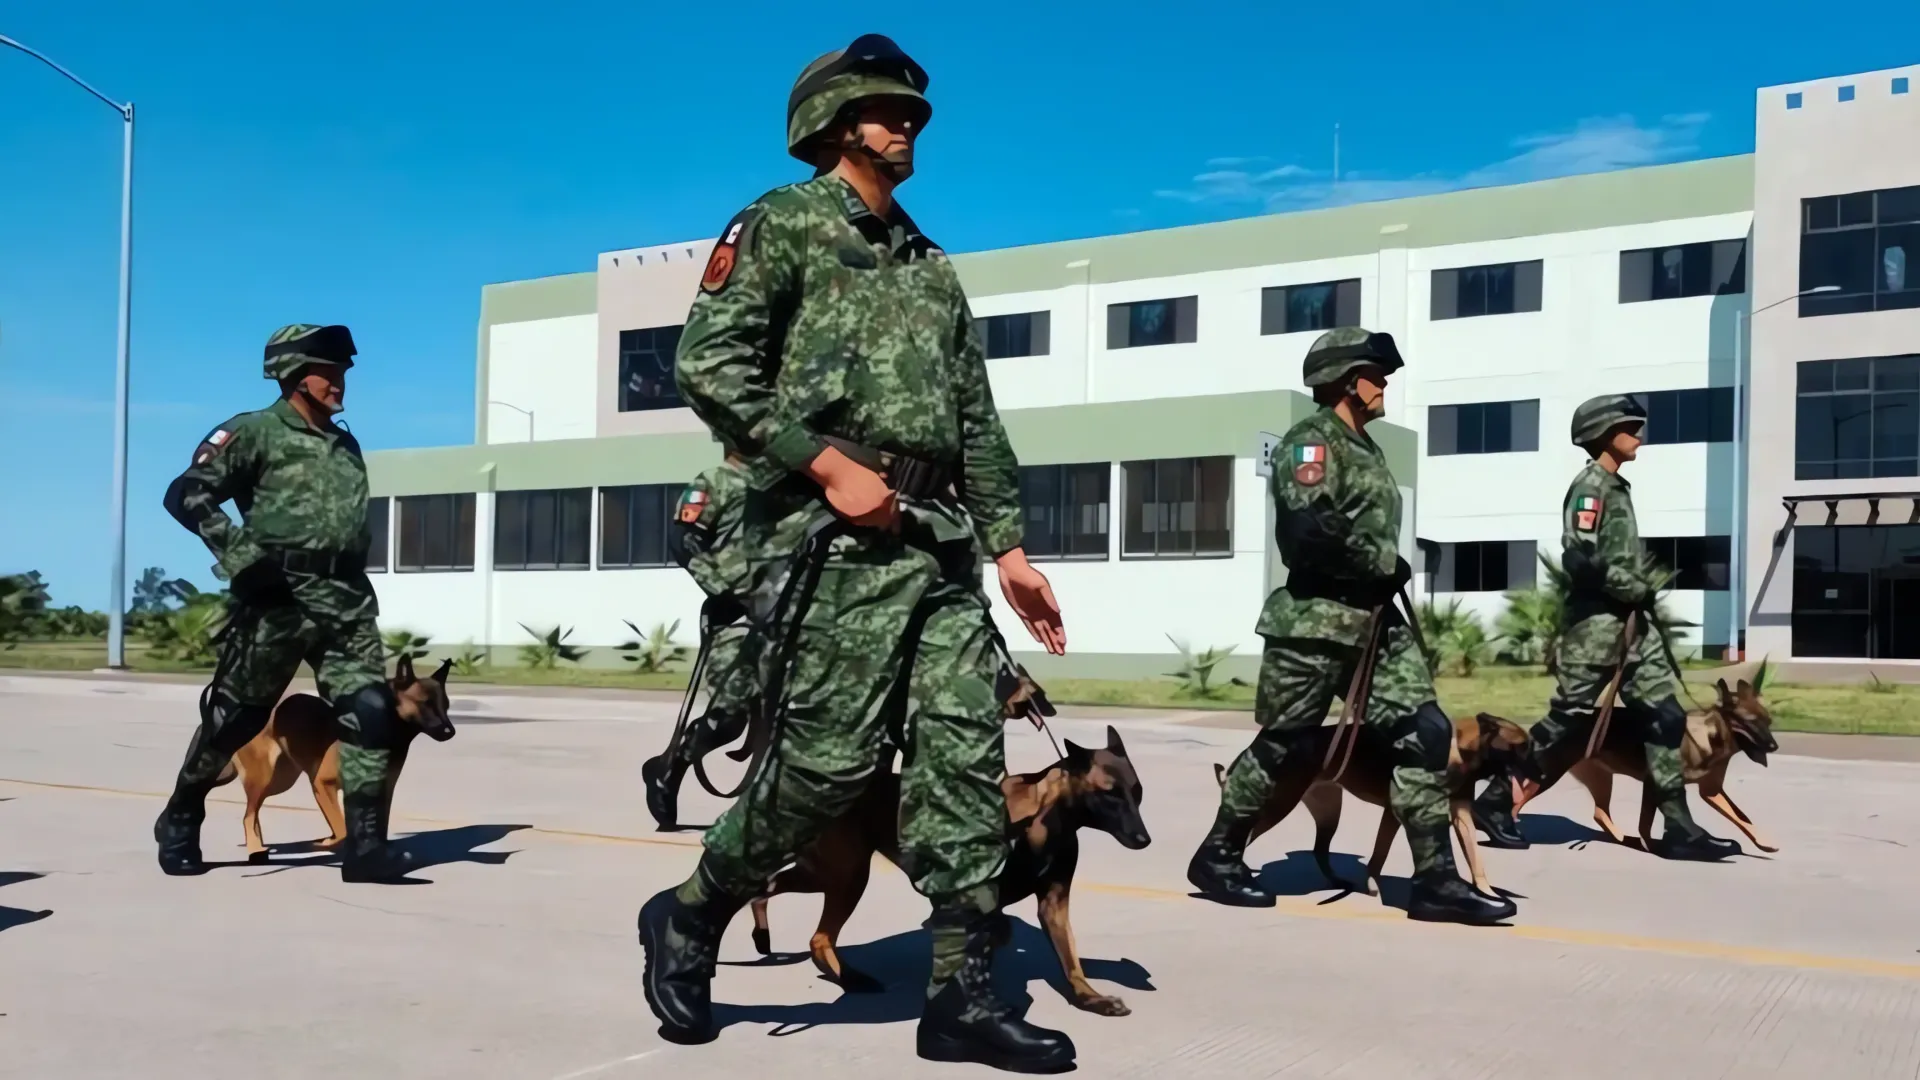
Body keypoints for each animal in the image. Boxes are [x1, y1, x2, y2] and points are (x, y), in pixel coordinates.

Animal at [211, 653, 460, 860]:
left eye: (446, 705)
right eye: (425, 704)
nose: (451, 732)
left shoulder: (382, 790)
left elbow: (378, 828)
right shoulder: (323, 784)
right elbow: (341, 830)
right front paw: (328, 843)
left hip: (280, 780)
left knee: (253, 814)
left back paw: (261, 846)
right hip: (264, 778)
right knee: (248, 815)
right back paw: (255, 849)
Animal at [744, 726, 1136, 1014]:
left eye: (1138, 791)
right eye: (1110, 793)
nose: (1143, 837)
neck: (1045, 819)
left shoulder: (1053, 903)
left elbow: (1069, 959)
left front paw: (1091, 997)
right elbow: (995, 929)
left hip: (829, 874)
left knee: (769, 888)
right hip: (846, 875)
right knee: (815, 933)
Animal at [1213, 711, 1543, 895]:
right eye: (1521, 747)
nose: (1542, 773)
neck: (1459, 750)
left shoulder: (1460, 814)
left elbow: (1476, 860)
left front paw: (1488, 893)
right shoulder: (1395, 813)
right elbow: (1379, 855)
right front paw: (1373, 884)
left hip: (1328, 812)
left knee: (1320, 851)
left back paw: (1338, 882)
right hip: (1278, 806)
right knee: (1241, 834)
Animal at [1566, 676, 1774, 853]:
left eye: (1768, 721)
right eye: (1750, 723)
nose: (1774, 746)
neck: (1709, 738)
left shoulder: (1711, 791)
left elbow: (1741, 817)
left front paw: (1763, 842)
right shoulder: (1653, 786)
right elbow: (1646, 823)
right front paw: (1653, 846)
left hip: (1602, 779)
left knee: (1599, 814)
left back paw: (1624, 838)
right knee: (1601, 814)